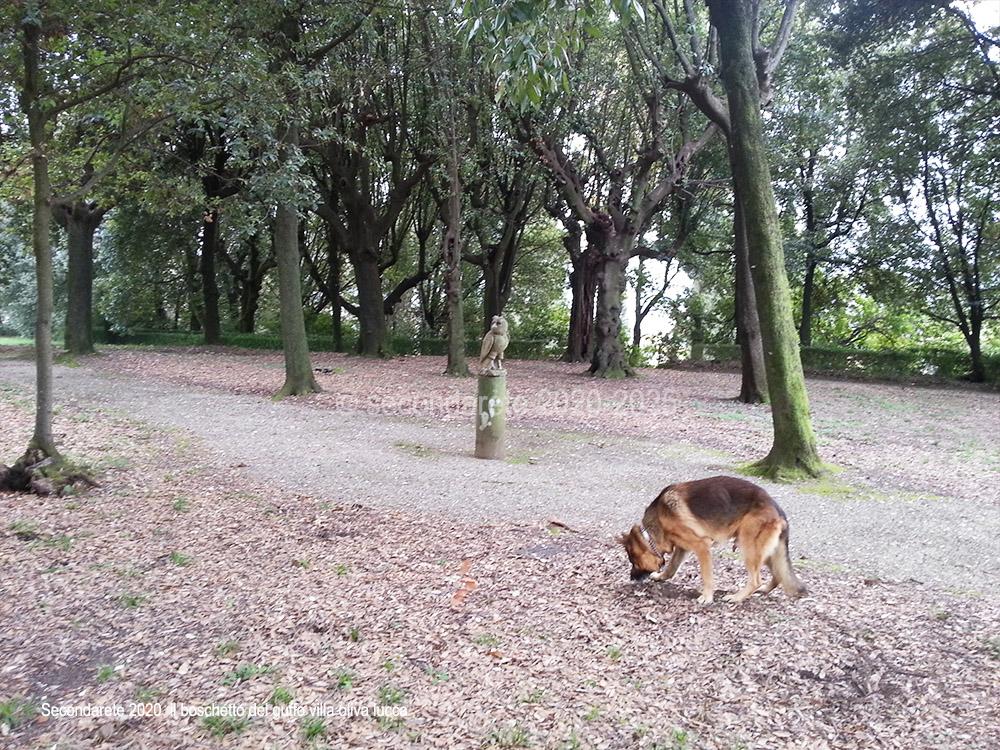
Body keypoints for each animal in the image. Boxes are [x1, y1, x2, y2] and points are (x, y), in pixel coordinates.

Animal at [616, 478, 804, 608]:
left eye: (633, 561)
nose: (631, 578)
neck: (652, 531)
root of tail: (778, 510)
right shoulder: (682, 547)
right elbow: (672, 567)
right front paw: (662, 576)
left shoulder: (701, 546)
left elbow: (707, 576)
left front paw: (707, 597)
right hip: (763, 551)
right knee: (778, 574)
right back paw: (764, 589)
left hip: (749, 547)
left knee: (755, 579)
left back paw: (737, 597)